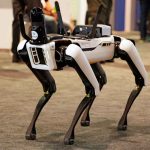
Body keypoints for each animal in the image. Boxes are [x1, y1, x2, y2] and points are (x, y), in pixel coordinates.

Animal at [17, 0, 148, 144]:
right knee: (101, 79)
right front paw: (31, 131)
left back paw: (122, 122)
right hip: (92, 60)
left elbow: (90, 89)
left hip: (125, 47)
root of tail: (117, 37)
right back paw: (86, 118)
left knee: (139, 79)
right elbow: (49, 88)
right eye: (35, 53)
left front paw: (69, 136)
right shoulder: (23, 51)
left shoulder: (74, 53)